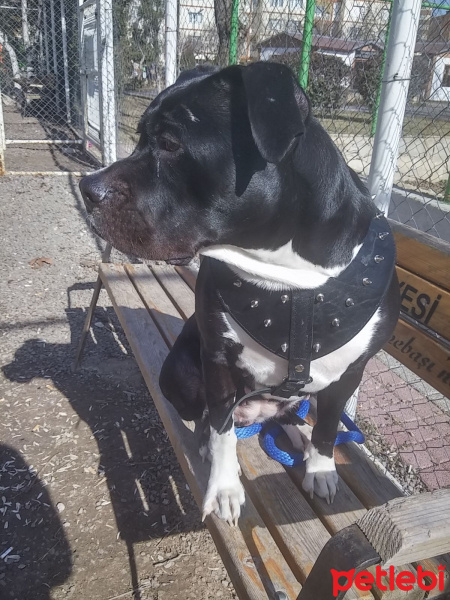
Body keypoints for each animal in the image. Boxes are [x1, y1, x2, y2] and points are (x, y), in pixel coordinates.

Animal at [79, 62, 400, 524]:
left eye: (170, 143)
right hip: (180, 371)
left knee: (290, 413)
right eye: (140, 138)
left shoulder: (351, 373)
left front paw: (320, 467)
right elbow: (222, 430)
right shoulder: (216, 361)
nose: (87, 188)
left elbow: (327, 427)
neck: (289, 277)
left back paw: (296, 433)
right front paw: (225, 486)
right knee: (207, 418)